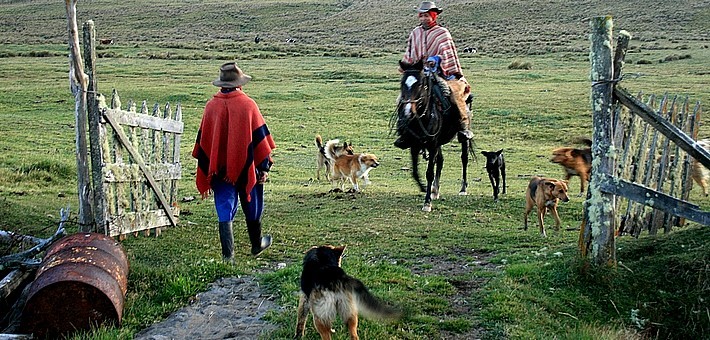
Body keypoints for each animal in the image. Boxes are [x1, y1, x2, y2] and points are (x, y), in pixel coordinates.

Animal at [394, 59, 472, 211]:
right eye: (402, 84)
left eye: (420, 84)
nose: (407, 112)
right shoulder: (415, 145)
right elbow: (415, 171)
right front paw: (426, 189)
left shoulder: (432, 144)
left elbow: (429, 173)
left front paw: (427, 202)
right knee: (440, 161)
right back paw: (435, 190)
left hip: (461, 136)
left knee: (464, 158)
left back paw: (463, 189)